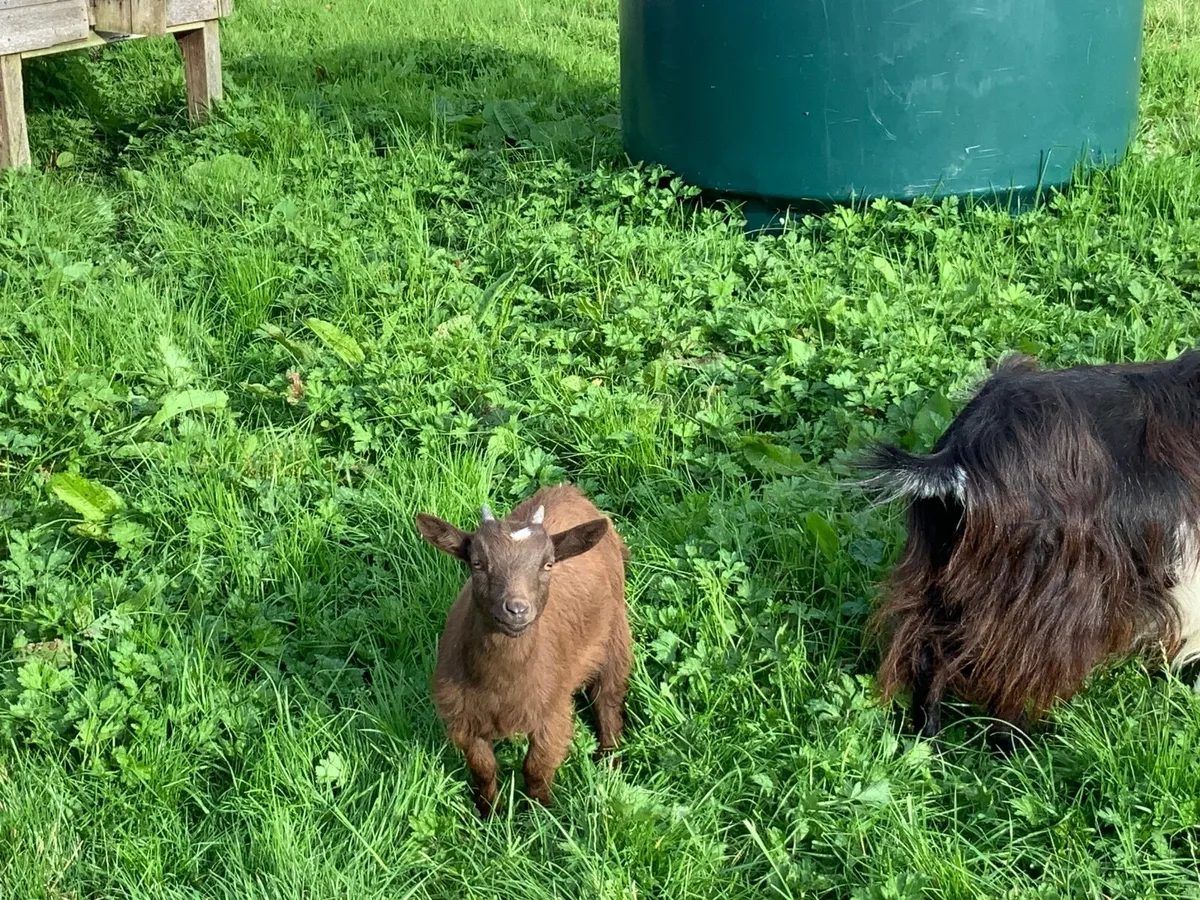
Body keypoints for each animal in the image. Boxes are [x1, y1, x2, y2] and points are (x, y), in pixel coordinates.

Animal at [415, 483, 631, 816]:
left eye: (548, 563)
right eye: (477, 563)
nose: (516, 609)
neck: (501, 684)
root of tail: (568, 490)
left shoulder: (552, 713)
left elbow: (536, 768)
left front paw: (540, 814)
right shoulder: (464, 719)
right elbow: (483, 769)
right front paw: (489, 813)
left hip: (615, 636)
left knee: (608, 701)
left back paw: (609, 766)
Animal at [861, 351, 1200, 750]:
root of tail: (960, 458)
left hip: (944, 575)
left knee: (927, 651)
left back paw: (929, 743)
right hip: (1048, 595)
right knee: (1012, 671)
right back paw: (1019, 747)